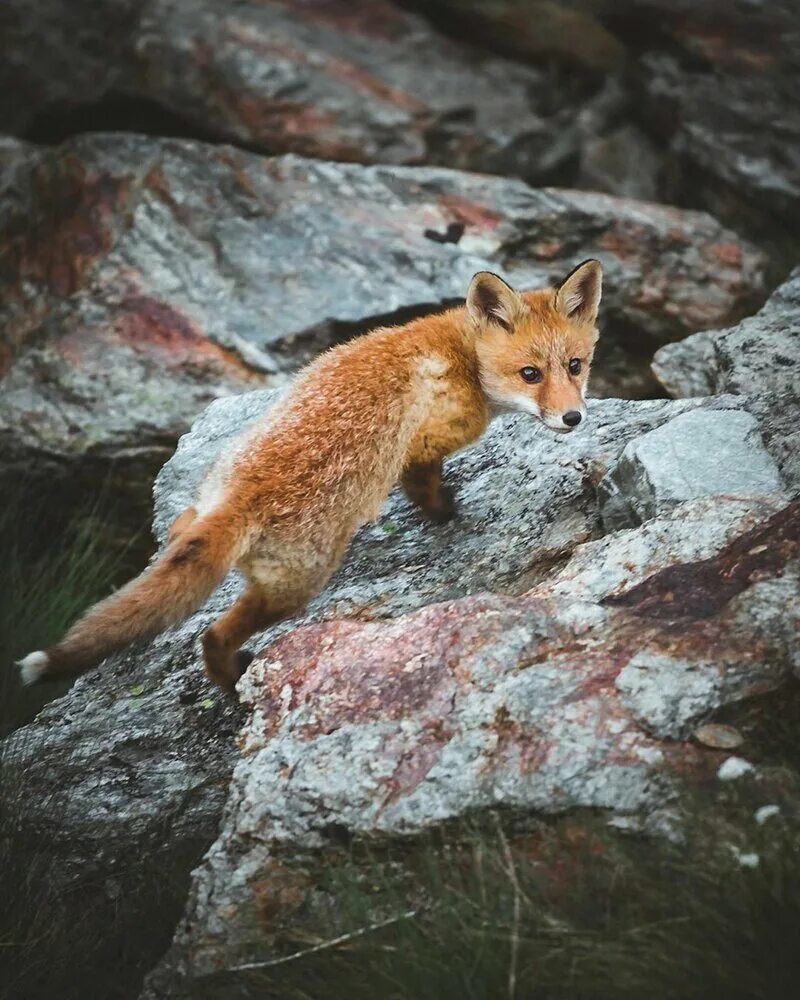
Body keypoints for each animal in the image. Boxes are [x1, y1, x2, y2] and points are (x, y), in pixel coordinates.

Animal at [17, 262, 600, 692]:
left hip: (213, 506)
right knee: (213, 635)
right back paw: (229, 683)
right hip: (297, 585)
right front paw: (445, 514)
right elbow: (425, 487)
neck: (462, 356)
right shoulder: (424, 444)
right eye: (530, 374)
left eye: (575, 366)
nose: (573, 418)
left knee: (182, 531)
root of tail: (244, 493)